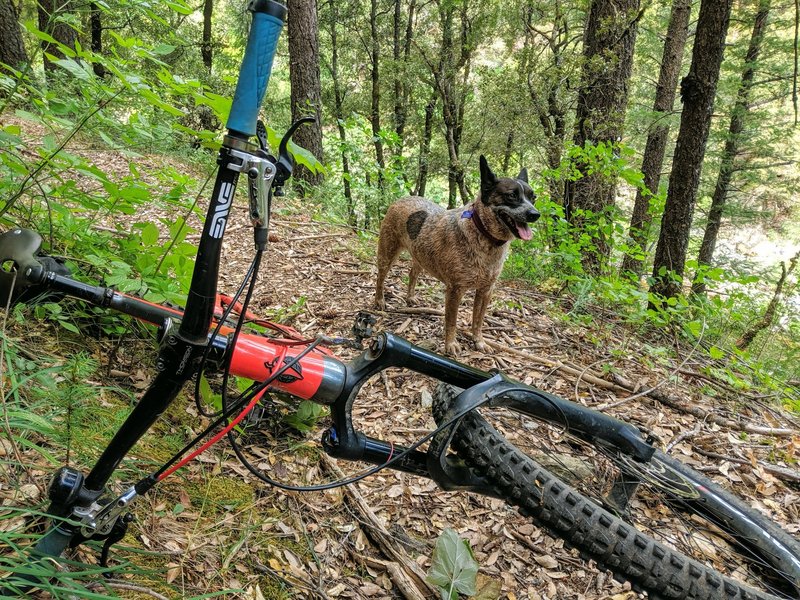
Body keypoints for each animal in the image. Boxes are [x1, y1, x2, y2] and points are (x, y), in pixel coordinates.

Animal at [374, 154, 536, 356]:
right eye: (512, 195)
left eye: (533, 197)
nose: (535, 214)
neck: (484, 237)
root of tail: (401, 199)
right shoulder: (455, 290)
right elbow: (451, 321)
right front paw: (451, 344)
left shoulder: (486, 291)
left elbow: (478, 320)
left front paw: (479, 341)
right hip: (388, 253)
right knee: (380, 277)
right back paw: (379, 300)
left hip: (420, 256)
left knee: (412, 274)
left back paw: (410, 298)